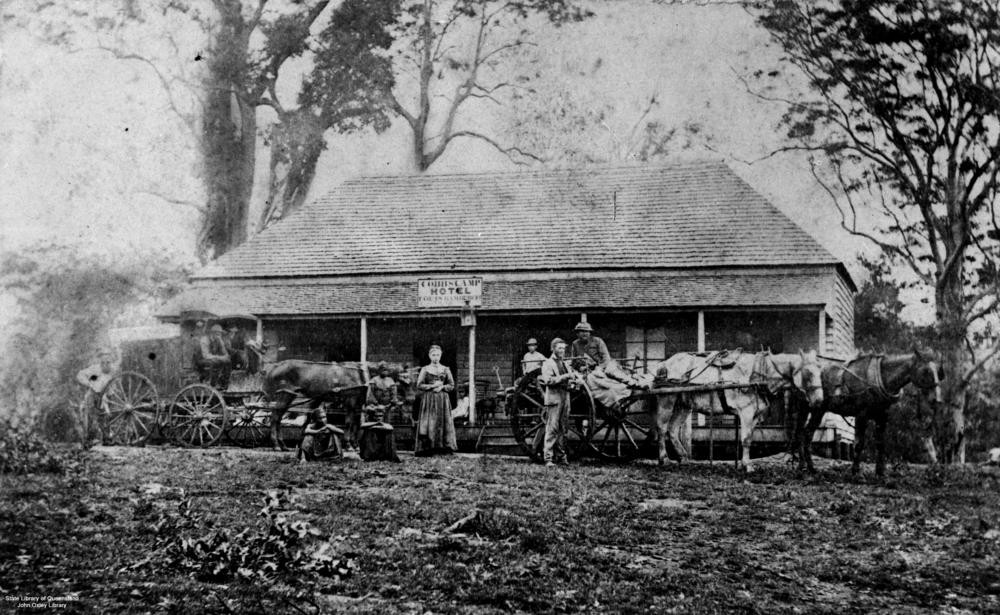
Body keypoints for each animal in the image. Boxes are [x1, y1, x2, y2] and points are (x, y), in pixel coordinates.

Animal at [264, 360, 416, 452]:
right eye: (404, 381)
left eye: (412, 381)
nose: (412, 399)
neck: (360, 375)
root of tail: (274, 367)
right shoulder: (350, 400)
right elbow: (349, 423)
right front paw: (348, 445)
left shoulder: (358, 403)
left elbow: (356, 424)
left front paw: (355, 445)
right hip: (285, 395)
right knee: (275, 418)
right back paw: (276, 445)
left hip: (288, 397)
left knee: (278, 418)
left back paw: (283, 445)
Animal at [652, 348, 824, 474]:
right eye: (808, 373)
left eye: (820, 372)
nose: (819, 401)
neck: (760, 373)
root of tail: (665, 363)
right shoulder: (746, 412)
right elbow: (746, 439)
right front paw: (748, 466)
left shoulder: (755, 415)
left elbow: (749, 438)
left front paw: (742, 463)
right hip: (667, 400)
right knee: (662, 428)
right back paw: (664, 459)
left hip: (683, 405)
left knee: (672, 429)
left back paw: (683, 458)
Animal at [792, 352, 940, 476]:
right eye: (926, 371)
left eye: (939, 372)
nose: (935, 399)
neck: (880, 377)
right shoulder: (861, 415)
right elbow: (859, 444)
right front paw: (856, 472)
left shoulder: (882, 417)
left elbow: (880, 444)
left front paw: (880, 472)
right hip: (811, 409)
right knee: (804, 434)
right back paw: (807, 467)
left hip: (814, 410)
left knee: (803, 434)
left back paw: (806, 467)